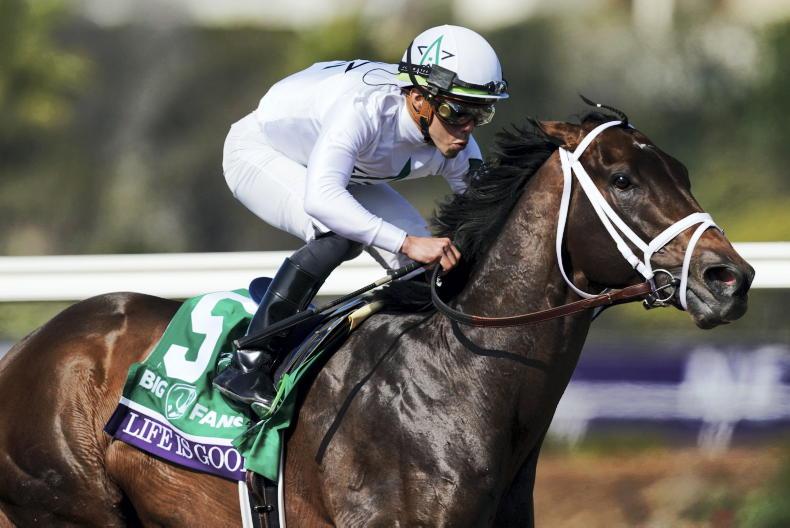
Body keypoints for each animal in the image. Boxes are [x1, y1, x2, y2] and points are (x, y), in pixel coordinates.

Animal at [0, 111, 754, 527]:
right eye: (622, 179)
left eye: (683, 173)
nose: (731, 278)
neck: (454, 377)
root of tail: (27, 348)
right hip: (69, 511)